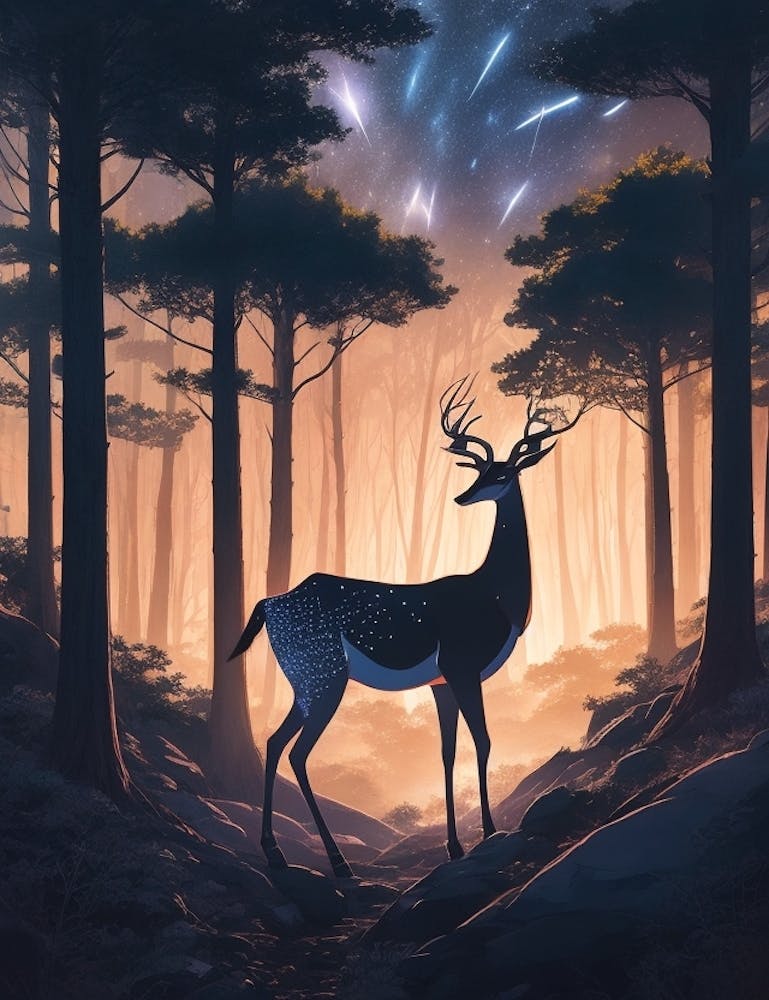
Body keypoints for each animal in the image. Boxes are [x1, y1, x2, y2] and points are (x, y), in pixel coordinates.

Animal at [230, 377, 577, 878]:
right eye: (479, 472)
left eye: (501, 475)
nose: (462, 497)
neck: (498, 597)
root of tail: (267, 605)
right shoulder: (462, 664)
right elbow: (484, 740)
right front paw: (490, 832)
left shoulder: (441, 680)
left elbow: (447, 751)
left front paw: (455, 846)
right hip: (324, 671)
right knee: (297, 750)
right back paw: (337, 862)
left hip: (306, 677)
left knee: (275, 742)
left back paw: (275, 850)